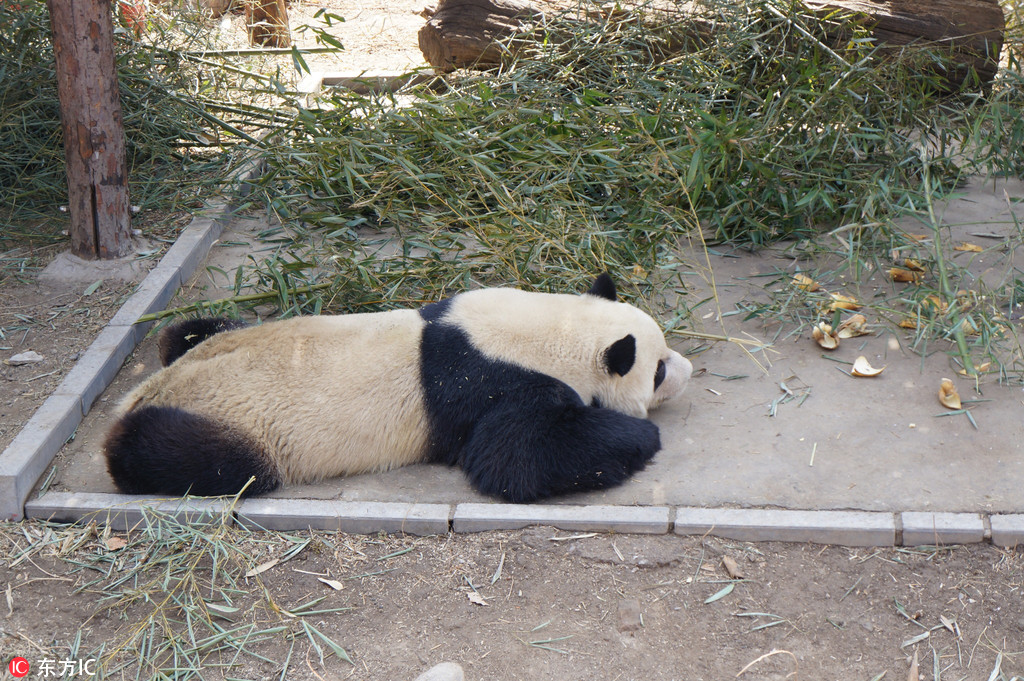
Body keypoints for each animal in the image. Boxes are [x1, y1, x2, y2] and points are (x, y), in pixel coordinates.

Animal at [103, 274, 692, 501]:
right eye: (658, 370)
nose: (688, 371)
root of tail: (143, 392)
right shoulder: (488, 385)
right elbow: (513, 458)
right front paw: (639, 437)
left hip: (208, 340)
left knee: (187, 331)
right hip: (232, 428)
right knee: (188, 456)